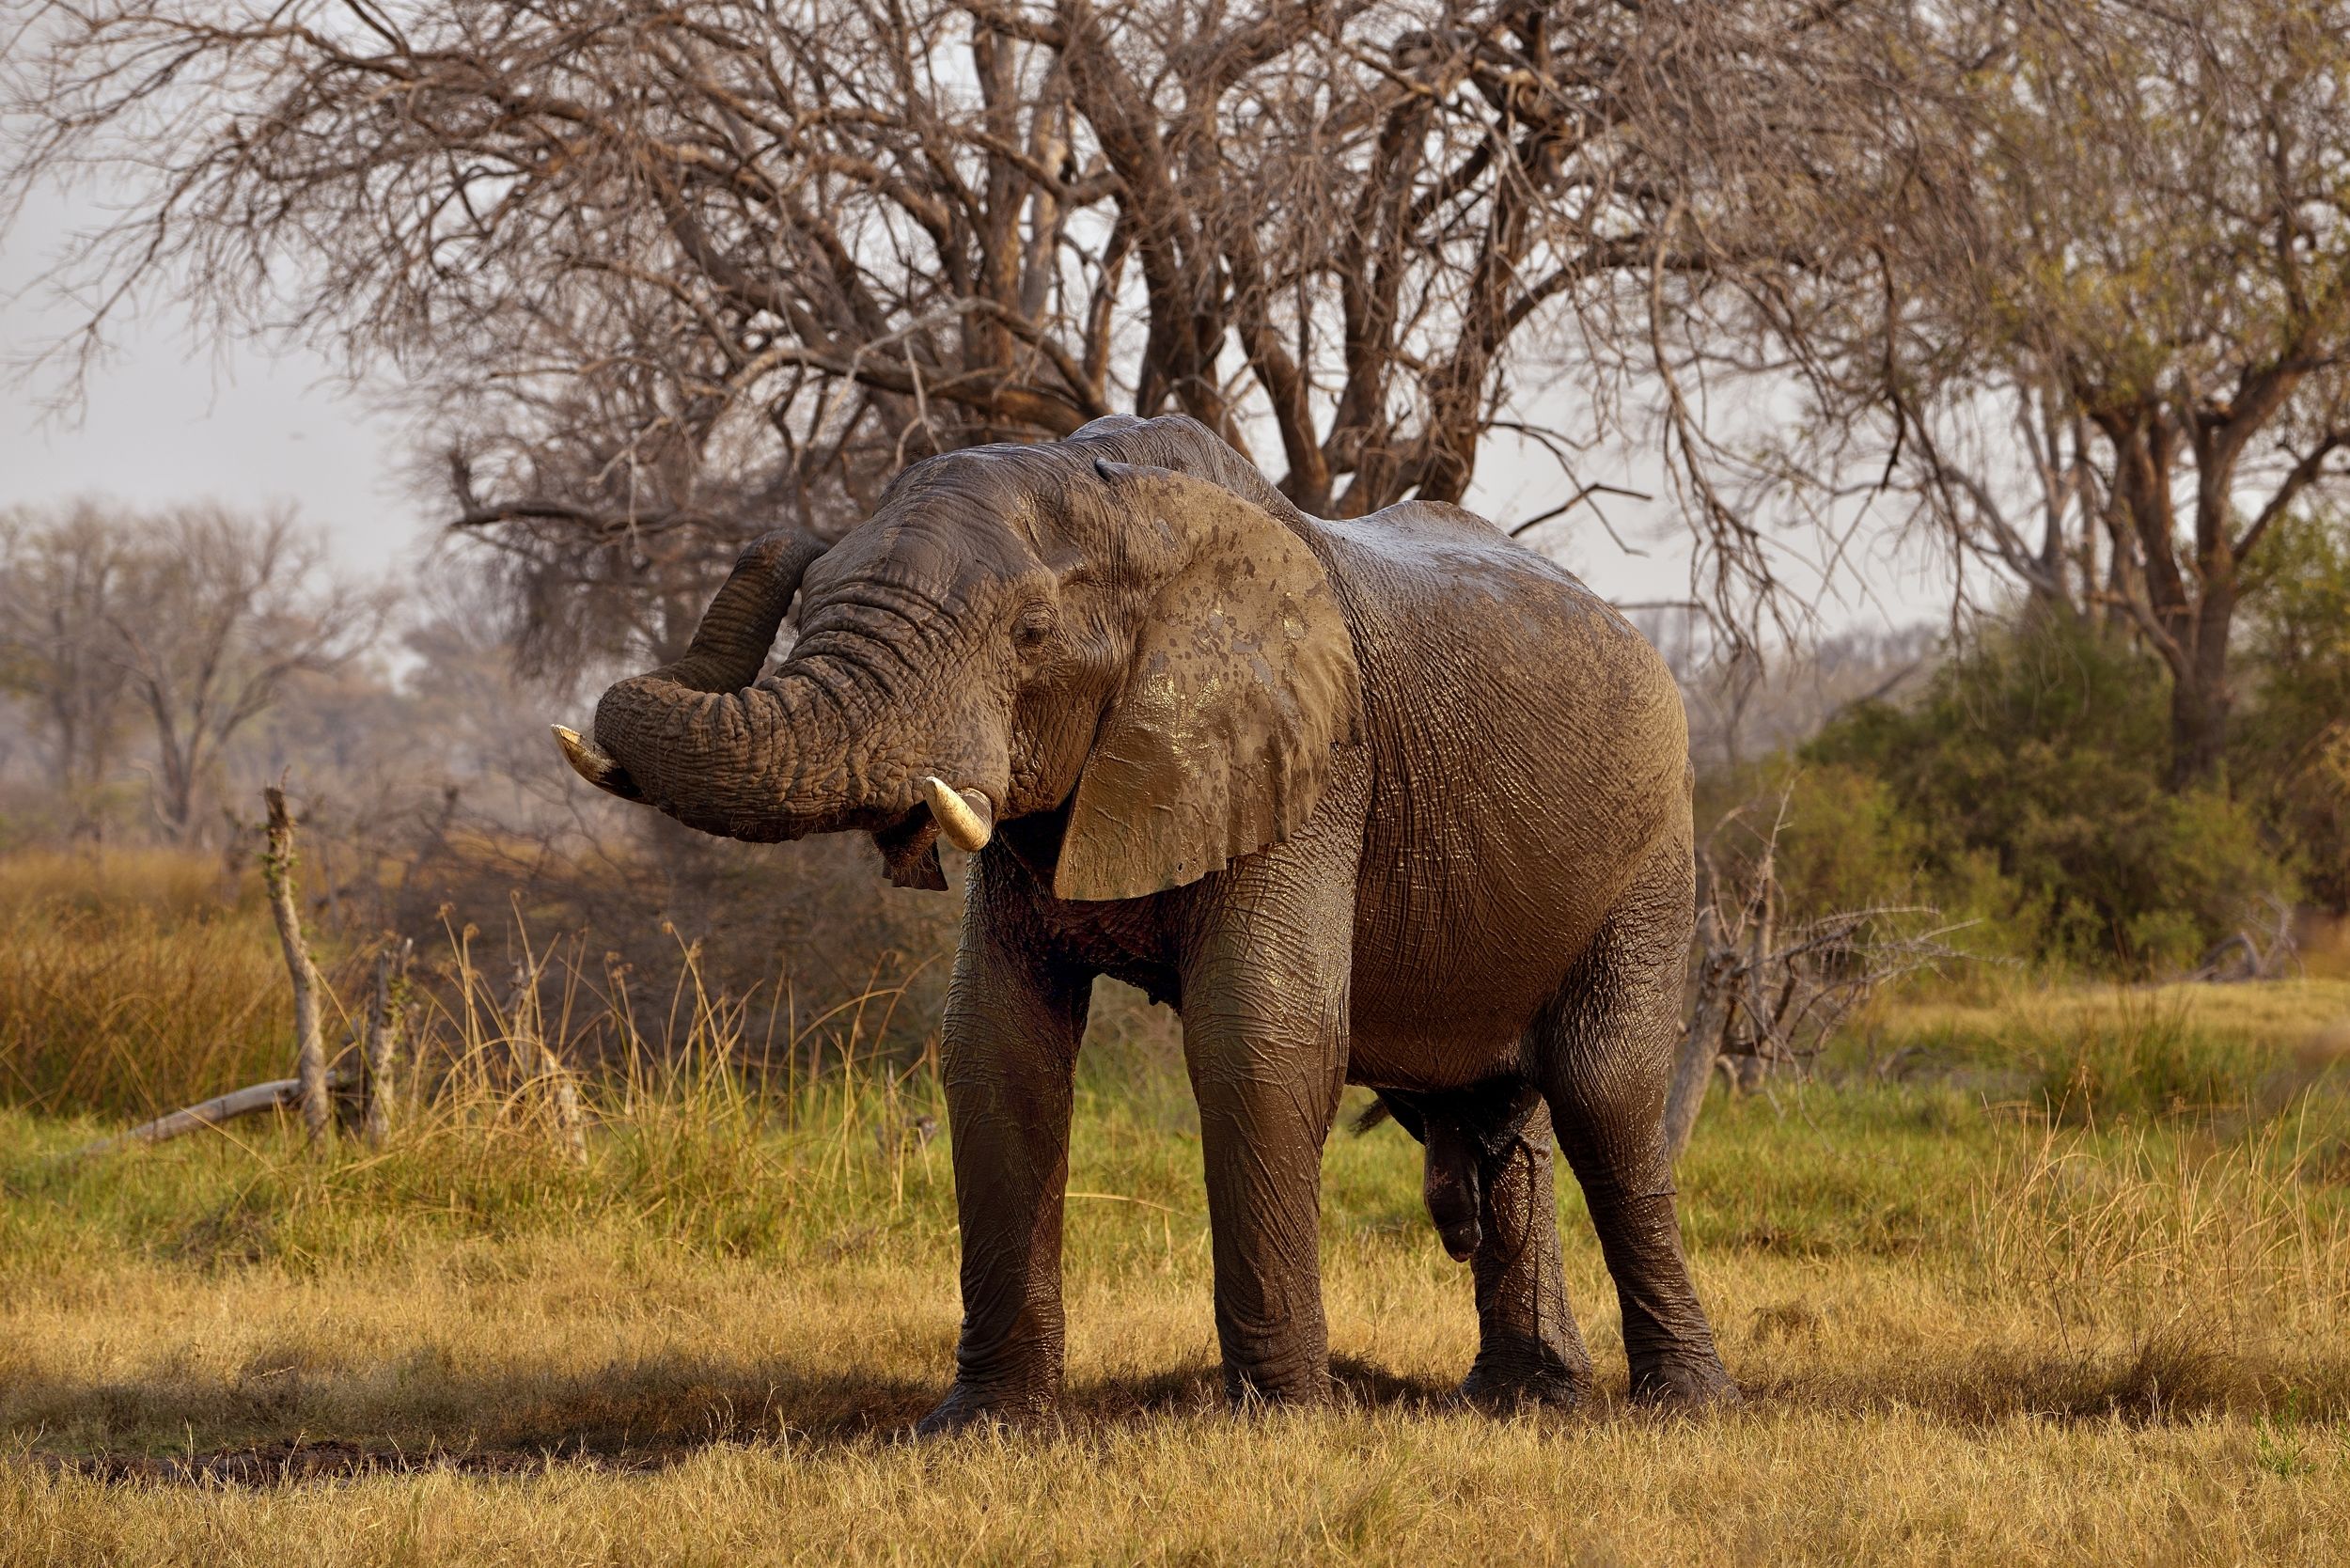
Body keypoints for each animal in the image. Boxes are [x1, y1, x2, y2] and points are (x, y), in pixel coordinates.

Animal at [555, 413, 1734, 1428]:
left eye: (1030, 633)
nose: (777, 540)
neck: (1117, 500)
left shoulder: (1314, 767)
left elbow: (1258, 1039)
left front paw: (1282, 1424)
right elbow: (995, 1047)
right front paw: (983, 1429)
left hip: (1652, 854)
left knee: (1603, 1096)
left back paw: (1684, 1407)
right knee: (1498, 1124)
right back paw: (1519, 1403)